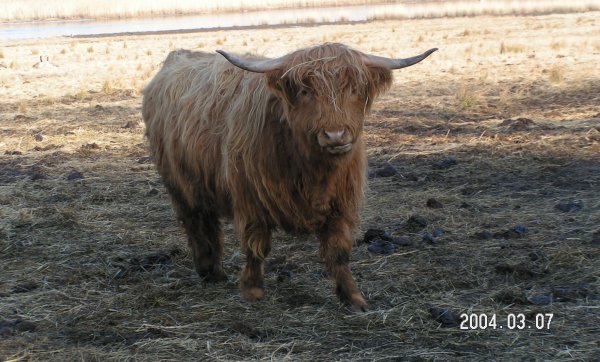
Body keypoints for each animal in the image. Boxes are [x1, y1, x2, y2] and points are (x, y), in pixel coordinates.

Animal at [145, 43, 436, 312]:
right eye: (306, 91)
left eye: (354, 89)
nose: (335, 135)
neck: (312, 170)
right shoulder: (251, 200)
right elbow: (256, 246)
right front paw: (252, 290)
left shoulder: (342, 203)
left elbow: (339, 252)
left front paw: (353, 298)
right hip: (179, 185)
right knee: (196, 224)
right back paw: (209, 271)